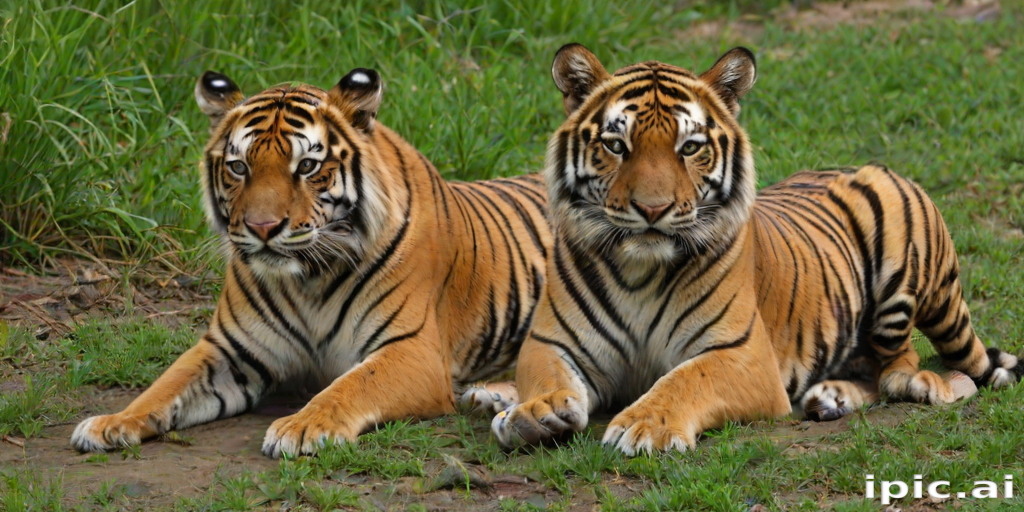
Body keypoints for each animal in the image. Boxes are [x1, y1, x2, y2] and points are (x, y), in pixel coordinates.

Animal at [70, 67, 551, 458]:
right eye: (239, 167)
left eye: (306, 166)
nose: (263, 227)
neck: (308, 279)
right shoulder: (229, 348)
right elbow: (164, 386)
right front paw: (111, 423)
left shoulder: (411, 349)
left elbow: (349, 387)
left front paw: (298, 427)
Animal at [490, 44, 1023, 454]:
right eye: (616, 145)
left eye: (689, 147)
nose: (653, 209)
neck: (641, 268)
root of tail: (862, 165)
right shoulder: (550, 342)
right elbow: (546, 376)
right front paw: (533, 411)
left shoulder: (741, 353)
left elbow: (683, 379)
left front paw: (642, 426)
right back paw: (830, 397)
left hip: (898, 275)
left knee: (907, 364)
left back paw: (915, 385)